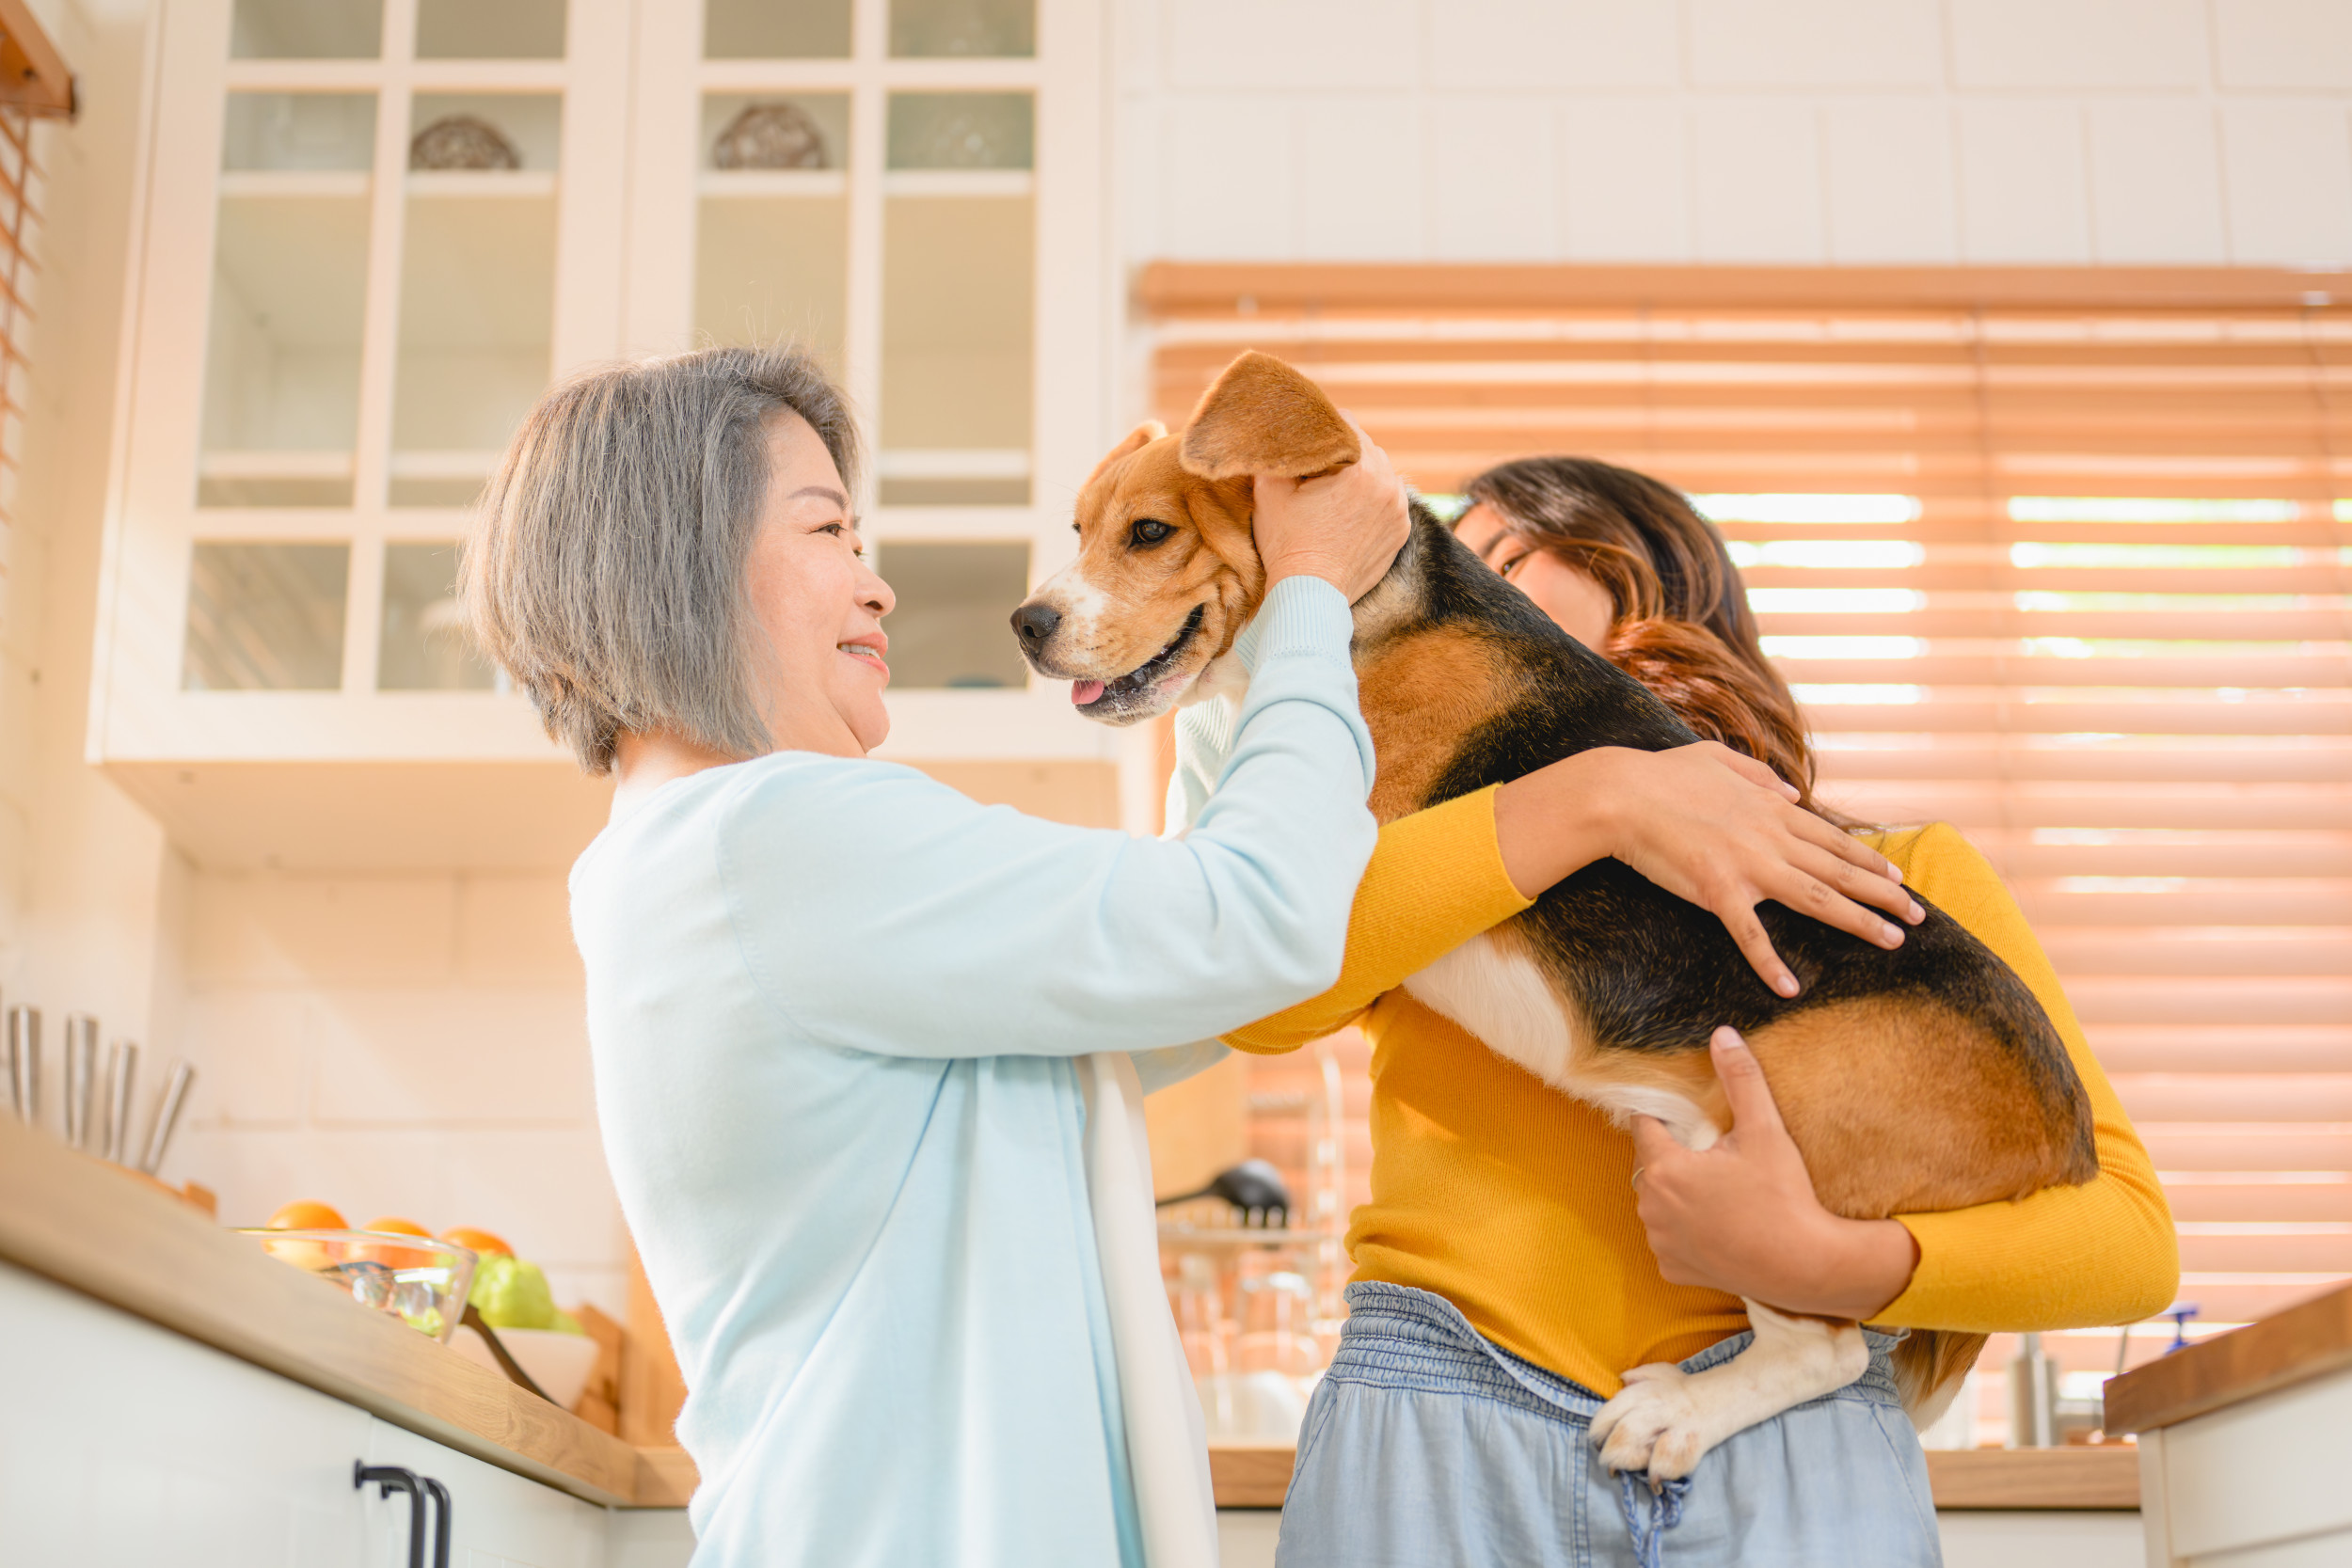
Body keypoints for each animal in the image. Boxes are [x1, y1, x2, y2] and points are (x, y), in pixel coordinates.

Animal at [1011, 352, 2098, 1485]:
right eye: (1080, 529)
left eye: (1149, 533)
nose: (1027, 624)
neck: (1353, 611)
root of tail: (2064, 1135)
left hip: (1774, 1140)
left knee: (1827, 1345)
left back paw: (1675, 1413)